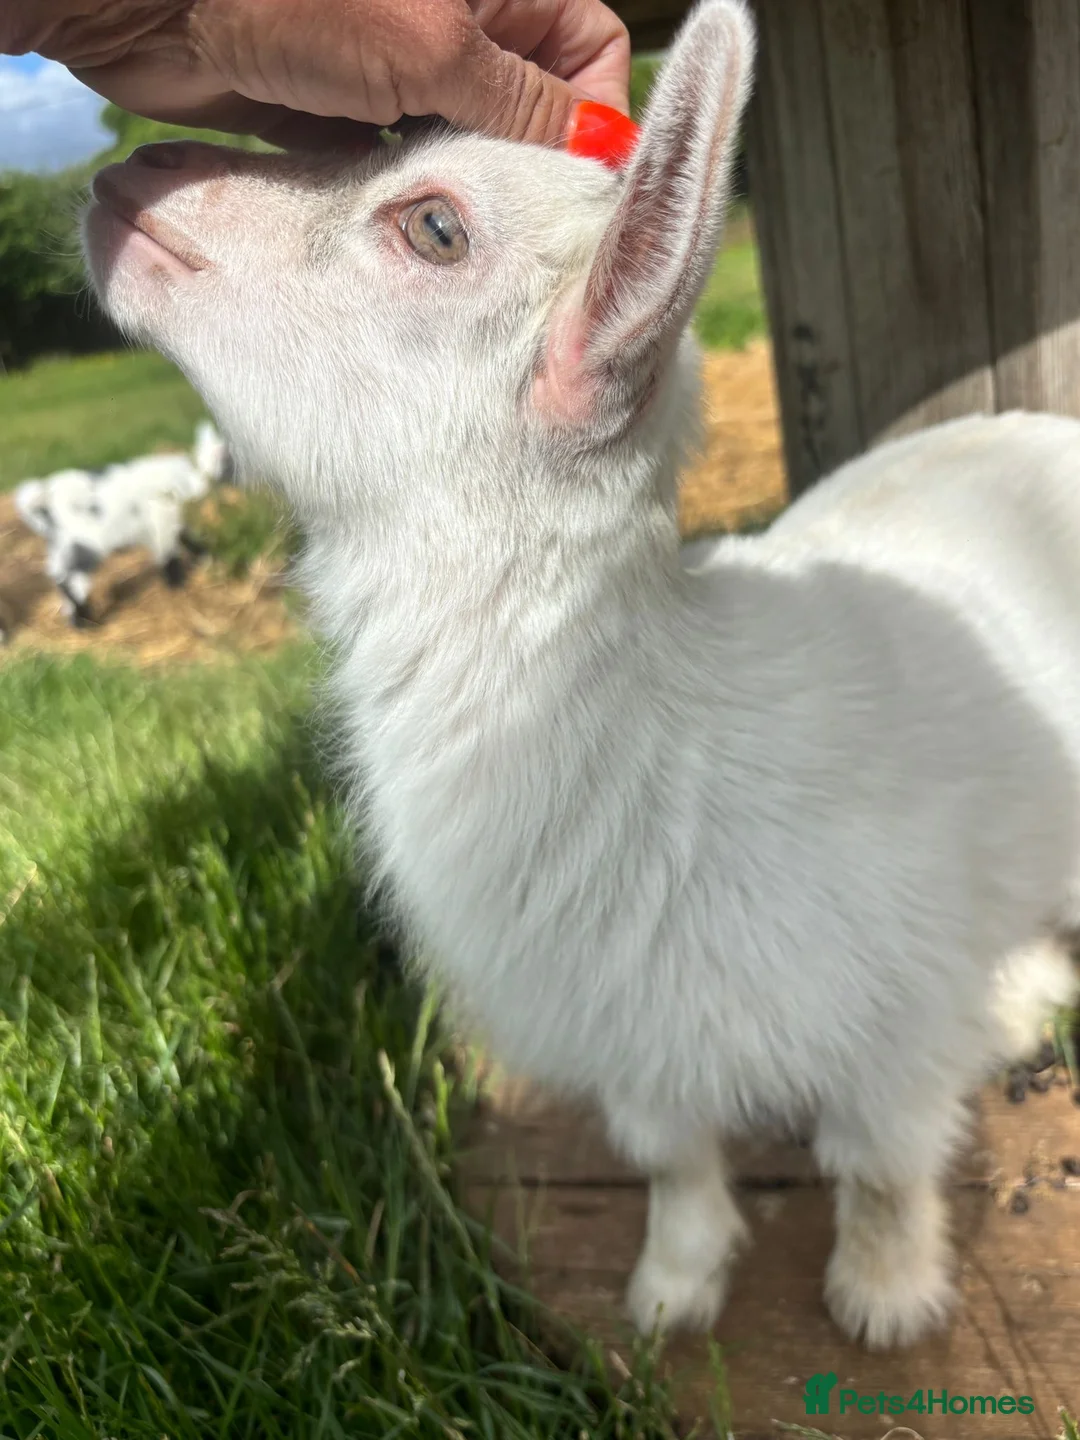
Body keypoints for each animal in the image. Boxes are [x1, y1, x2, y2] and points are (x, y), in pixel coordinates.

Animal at [14, 419, 230, 626]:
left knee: (61, 577)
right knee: (65, 579)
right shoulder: (162, 520)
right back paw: (89, 624)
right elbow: (169, 555)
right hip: (83, 546)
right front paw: (178, 586)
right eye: (227, 457)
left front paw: (208, 561)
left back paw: (80, 623)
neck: (193, 477)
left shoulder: (171, 521)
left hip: (65, 546)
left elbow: (188, 541)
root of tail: (45, 499)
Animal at [81, 0, 1080, 1352]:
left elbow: (876, 1164)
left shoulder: (898, 1026)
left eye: (434, 225)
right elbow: (668, 1158)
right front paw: (672, 1289)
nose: (134, 173)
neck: (675, 745)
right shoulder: (628, 1032)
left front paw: (882, 1298)